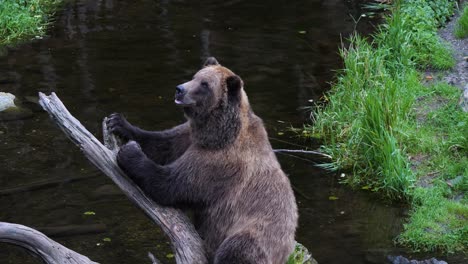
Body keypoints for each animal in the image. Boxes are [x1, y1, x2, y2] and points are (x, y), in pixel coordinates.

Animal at [107, 57, 296, 264]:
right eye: (195, 76)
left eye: (204, 84)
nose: (180, 89)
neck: (217, 133)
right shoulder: (189, 136)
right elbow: (163, 144)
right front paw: (118, 122)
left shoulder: (221, 163)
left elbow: (173, 184)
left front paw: (129, 152)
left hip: (256, 235)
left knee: (237, 248)